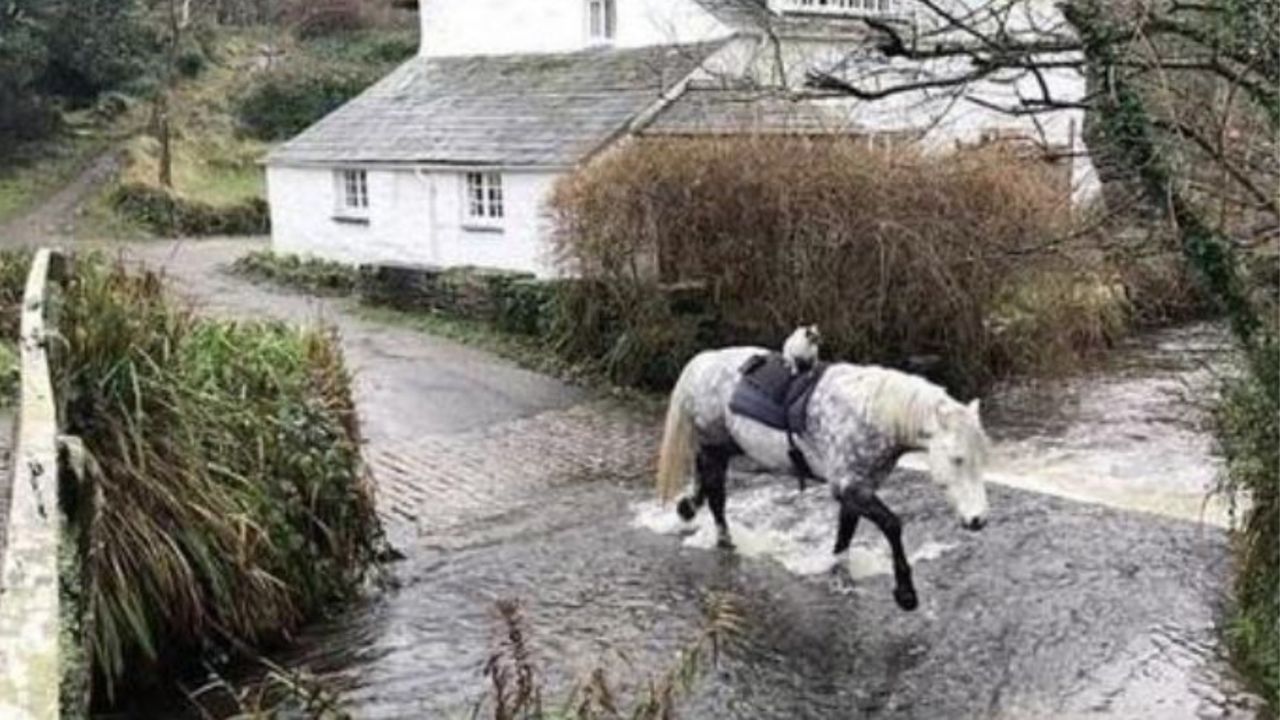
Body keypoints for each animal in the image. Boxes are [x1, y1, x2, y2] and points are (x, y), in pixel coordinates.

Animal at [660, 345, 988, 607]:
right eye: (957, 459)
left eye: (981, 459)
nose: (978, 520)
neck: (872, 415)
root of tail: (704, 361)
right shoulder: (850, 487)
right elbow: (893, 525)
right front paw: (906, 593)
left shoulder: (856, 490)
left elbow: (845, 535)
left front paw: (839, 575)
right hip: (714, 446)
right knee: (717, 496)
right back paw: (725, 541)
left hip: (725, 446)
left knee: (704, 480)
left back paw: (688, 508)